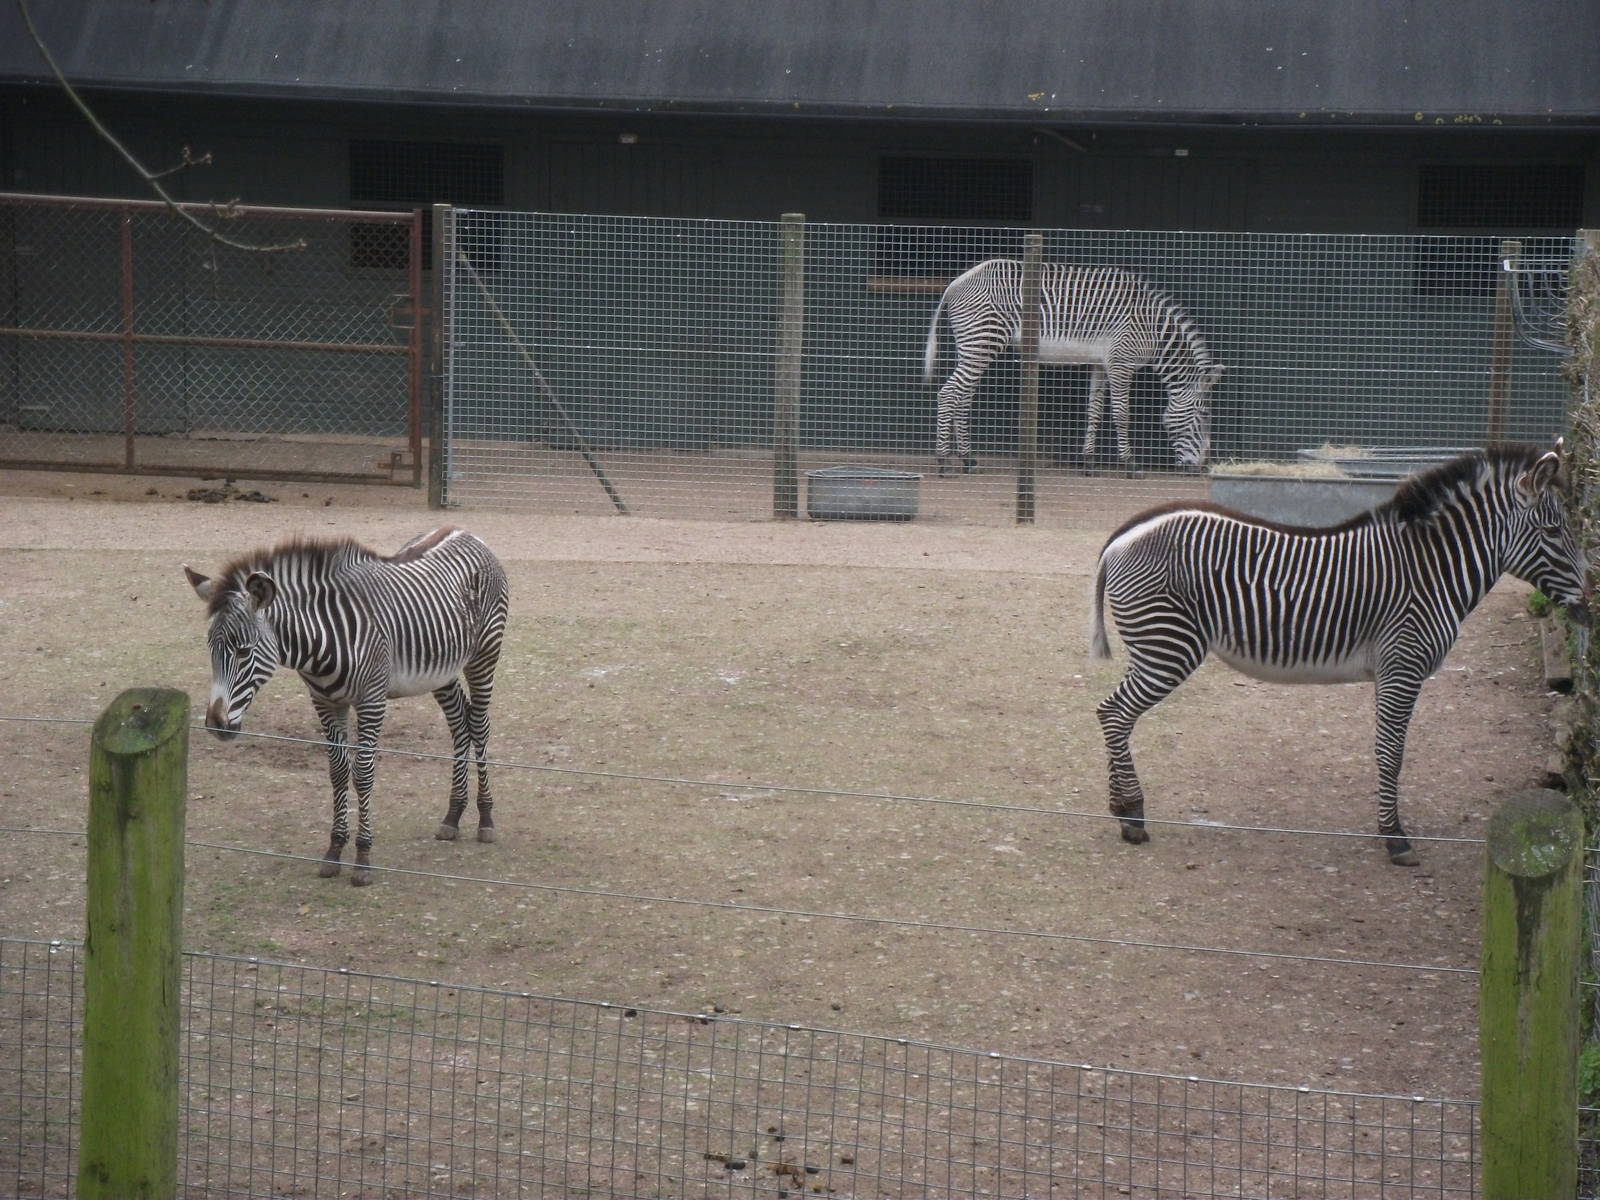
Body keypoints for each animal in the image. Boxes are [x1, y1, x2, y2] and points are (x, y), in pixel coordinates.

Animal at [184, 527, 510, 886]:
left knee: (479, 724)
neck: (319, 643)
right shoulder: (325, 702)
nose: (215, 723)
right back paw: (453, 815)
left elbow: (363, 774)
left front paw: (363, 856)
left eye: (243, 651)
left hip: (484, 653)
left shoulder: (371, 700)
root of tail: (467, 533)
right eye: (210, 649)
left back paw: (486, 817)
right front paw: (334, 850)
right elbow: (338, 772)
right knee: (459, 723)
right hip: (441, 669)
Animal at [922, 259, 1223, 477]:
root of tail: (956, 282)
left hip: (975, 347)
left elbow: (1095, 412)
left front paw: (1088, 463)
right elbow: (1121, 415)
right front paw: (1130, 464)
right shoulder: (1121, 363)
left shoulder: (1100, 365)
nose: (1202, 467)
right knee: (948, 394)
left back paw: (967, 459)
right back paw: (943, 462)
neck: (1155, 331)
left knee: (963, 397)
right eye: (1205, 414)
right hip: (982, 342)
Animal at [1088, 445, 1588, 866]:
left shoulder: (1394, 669)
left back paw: (1120, 807)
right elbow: (1391, 751)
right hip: (1169, 646)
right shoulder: (1402, 665)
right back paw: (1132, 817)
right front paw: (1394, 837)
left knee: (1112, 715)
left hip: (1154, 648)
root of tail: (1124, 533)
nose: (1588, 604)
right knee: (1114, 713)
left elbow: (1389, 749)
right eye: (1553, 530)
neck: (1431, 571)